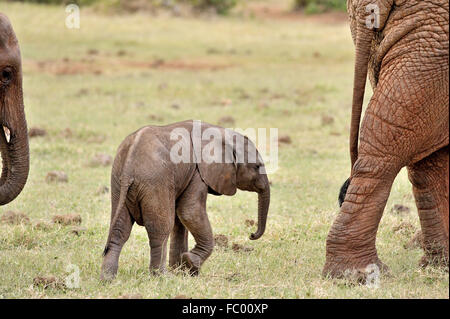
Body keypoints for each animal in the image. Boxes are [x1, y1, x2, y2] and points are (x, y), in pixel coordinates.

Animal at [101, 120, 270, 280]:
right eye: (257, 166)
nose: (251, 235)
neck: (222, 133)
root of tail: (129, 165)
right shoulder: (198, 172)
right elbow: (189, 212)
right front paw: (190, 264)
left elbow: (180, 219)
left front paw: (181, 271)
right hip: (154, 181)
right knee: (160, 229)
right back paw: (161, 277)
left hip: (118, 183)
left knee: (120, 230)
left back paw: (108, 278)